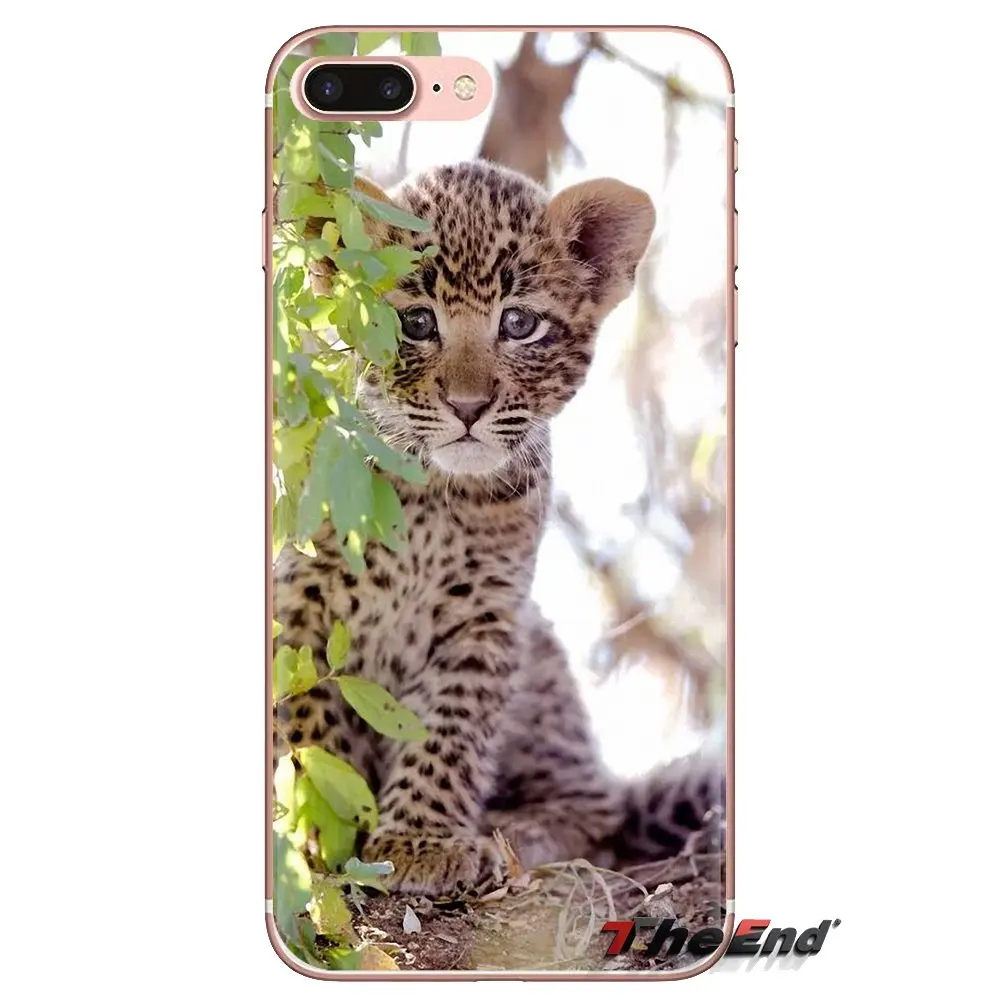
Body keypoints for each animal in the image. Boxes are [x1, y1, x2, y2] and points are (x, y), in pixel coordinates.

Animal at [273, 160, 724, 897]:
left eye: (518, 323)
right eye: (416, 321)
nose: (467, 406)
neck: (431, 495)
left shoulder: (484, 616)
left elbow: (449, 731)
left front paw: (422, 840)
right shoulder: (302, 596)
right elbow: (308, 722)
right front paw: (320, 827)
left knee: (596, 814)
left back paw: (509, 836)